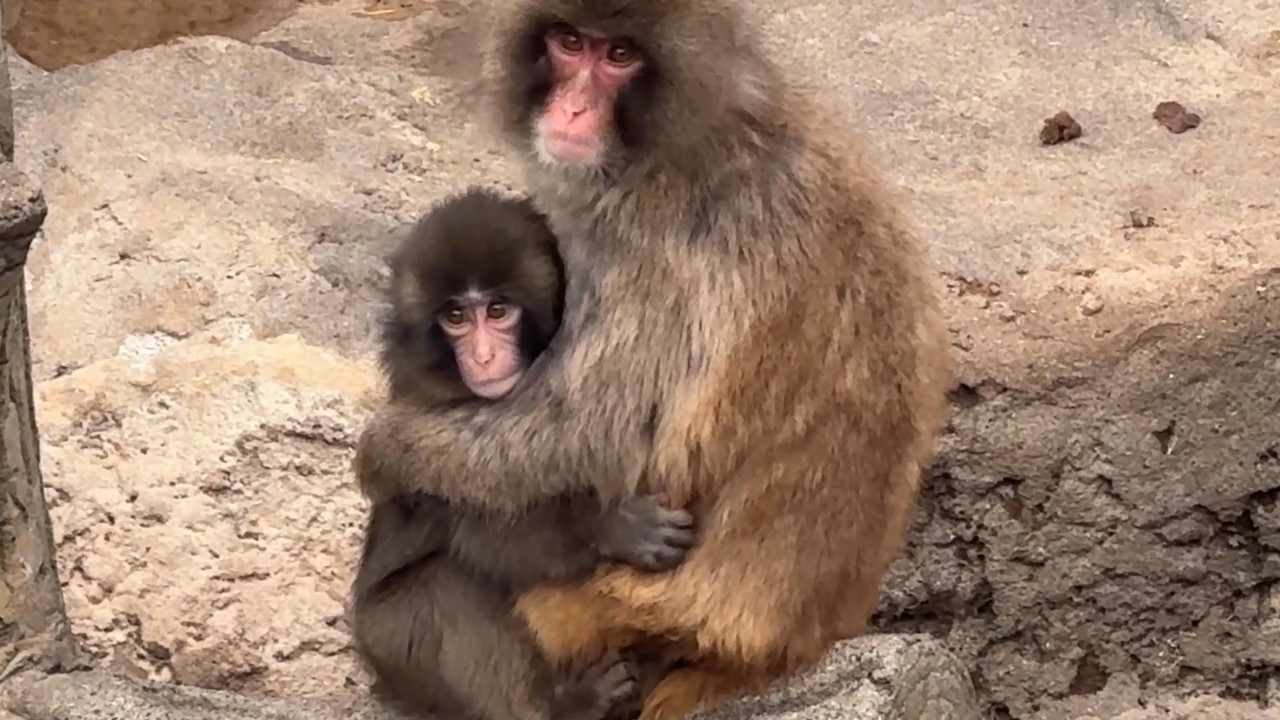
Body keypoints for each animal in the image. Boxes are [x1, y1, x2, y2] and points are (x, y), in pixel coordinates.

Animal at [350, 186, 698, 720]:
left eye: (498, 311)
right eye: (455, 316)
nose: (484, 357)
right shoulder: (424, 396)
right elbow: (473, 524)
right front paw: (608, 526)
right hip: (382, 644)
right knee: (440, 589)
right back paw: (570, 705)